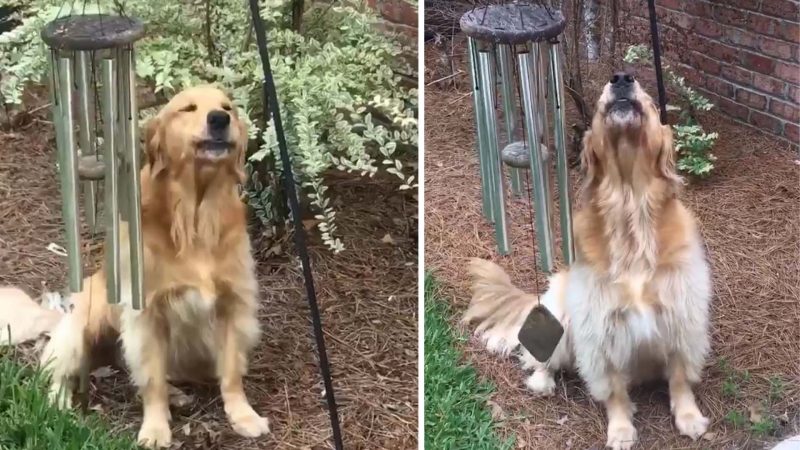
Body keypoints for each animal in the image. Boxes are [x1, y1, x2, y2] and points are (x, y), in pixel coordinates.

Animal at [39, 86, 268, 448]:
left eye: (228, 107)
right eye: (188, 108)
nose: (219, 119)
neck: (194, 215)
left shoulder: (233, 304)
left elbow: (231, 372)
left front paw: (243, 415)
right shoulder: (147, 314)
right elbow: (152, 380)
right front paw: (156, 428)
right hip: (83, 323)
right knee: (58, 371)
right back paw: (59, 403)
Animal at [462, 72, 712, 448]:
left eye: (652, 103)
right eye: (596, 106)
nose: (621, 78)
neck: (630, 206)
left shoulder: (681, 314)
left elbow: (680, 377)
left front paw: (689, 416)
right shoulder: (600, 328)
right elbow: (614, 391)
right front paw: (621, 429)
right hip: (560, 316)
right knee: (541, 357)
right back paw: (542, 381)